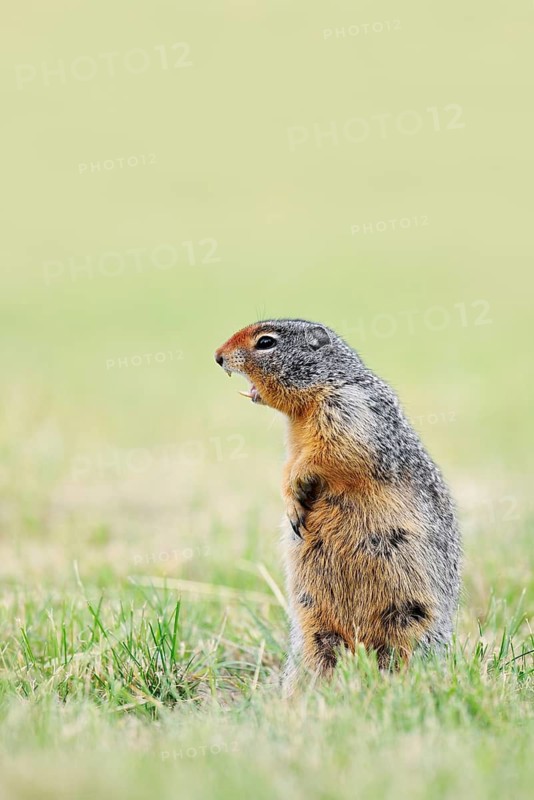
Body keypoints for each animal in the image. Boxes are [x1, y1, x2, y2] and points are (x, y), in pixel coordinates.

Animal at [215, 318, 461, 692]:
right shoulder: (296, 438)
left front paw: (300, 482)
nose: (217, 356)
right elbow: (289, 465)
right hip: (313, 625)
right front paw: (291, 506)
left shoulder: (348, 408)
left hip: (413, 617)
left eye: (266, 342)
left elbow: (332, 452)